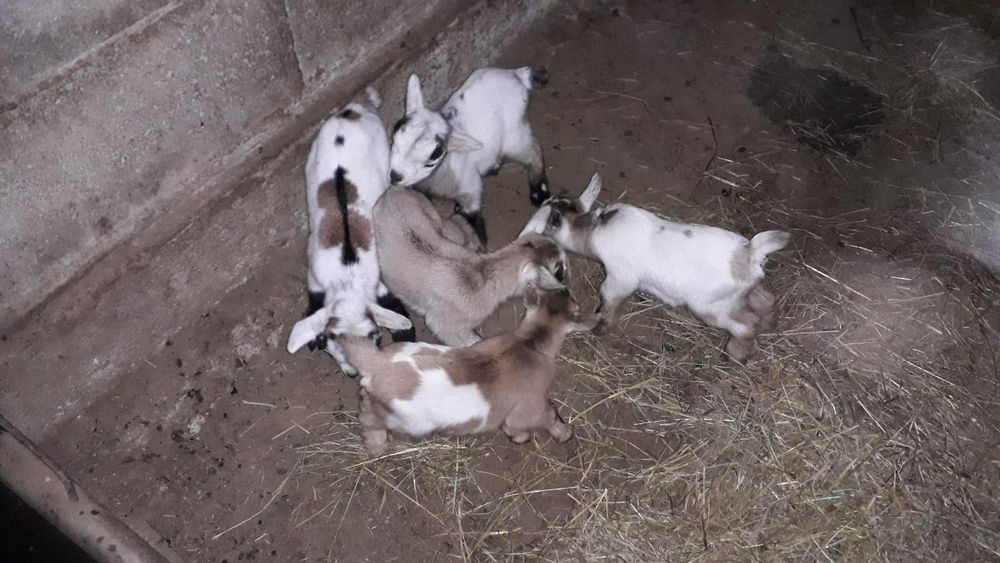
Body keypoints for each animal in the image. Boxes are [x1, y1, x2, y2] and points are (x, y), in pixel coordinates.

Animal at [285, 90, 413, 376]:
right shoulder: (314, 279)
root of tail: (352, 110)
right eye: (328, 338)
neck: (347, 278)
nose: (353, 373)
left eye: (376, 336)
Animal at [339, 287, 596, 456]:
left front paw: (515, 436)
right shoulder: (530, 407)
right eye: (574, 299)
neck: (529, 344)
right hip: (408, 420)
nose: (566, 288)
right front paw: (563, 433)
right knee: (370, 421)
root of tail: (376, 362)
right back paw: (376, 445)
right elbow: (547, 416)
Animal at [373, 186, 568, 347]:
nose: (567, 275)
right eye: (559, 268)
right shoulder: (442, 324)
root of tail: (391, 191)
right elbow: (472, 343)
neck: (483, 275)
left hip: (436, 218)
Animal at [388, 67, 551, 243]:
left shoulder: (470, 188)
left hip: (514, 134)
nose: (395, 176)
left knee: (533, 150)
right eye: (394, 142)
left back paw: (539, 192)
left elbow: (470, 216)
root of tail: (517, 74)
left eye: (430, 163)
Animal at [519, 174, 791, 362]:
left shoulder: (620, 278)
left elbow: (608, 298)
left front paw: (601, 327)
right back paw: (769, 324)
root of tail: (749, 252)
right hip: (741, 293)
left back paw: (735, 354)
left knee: (746, 325)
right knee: (765, 300)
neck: (592, 230)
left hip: (711, 307)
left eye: (544, 224)